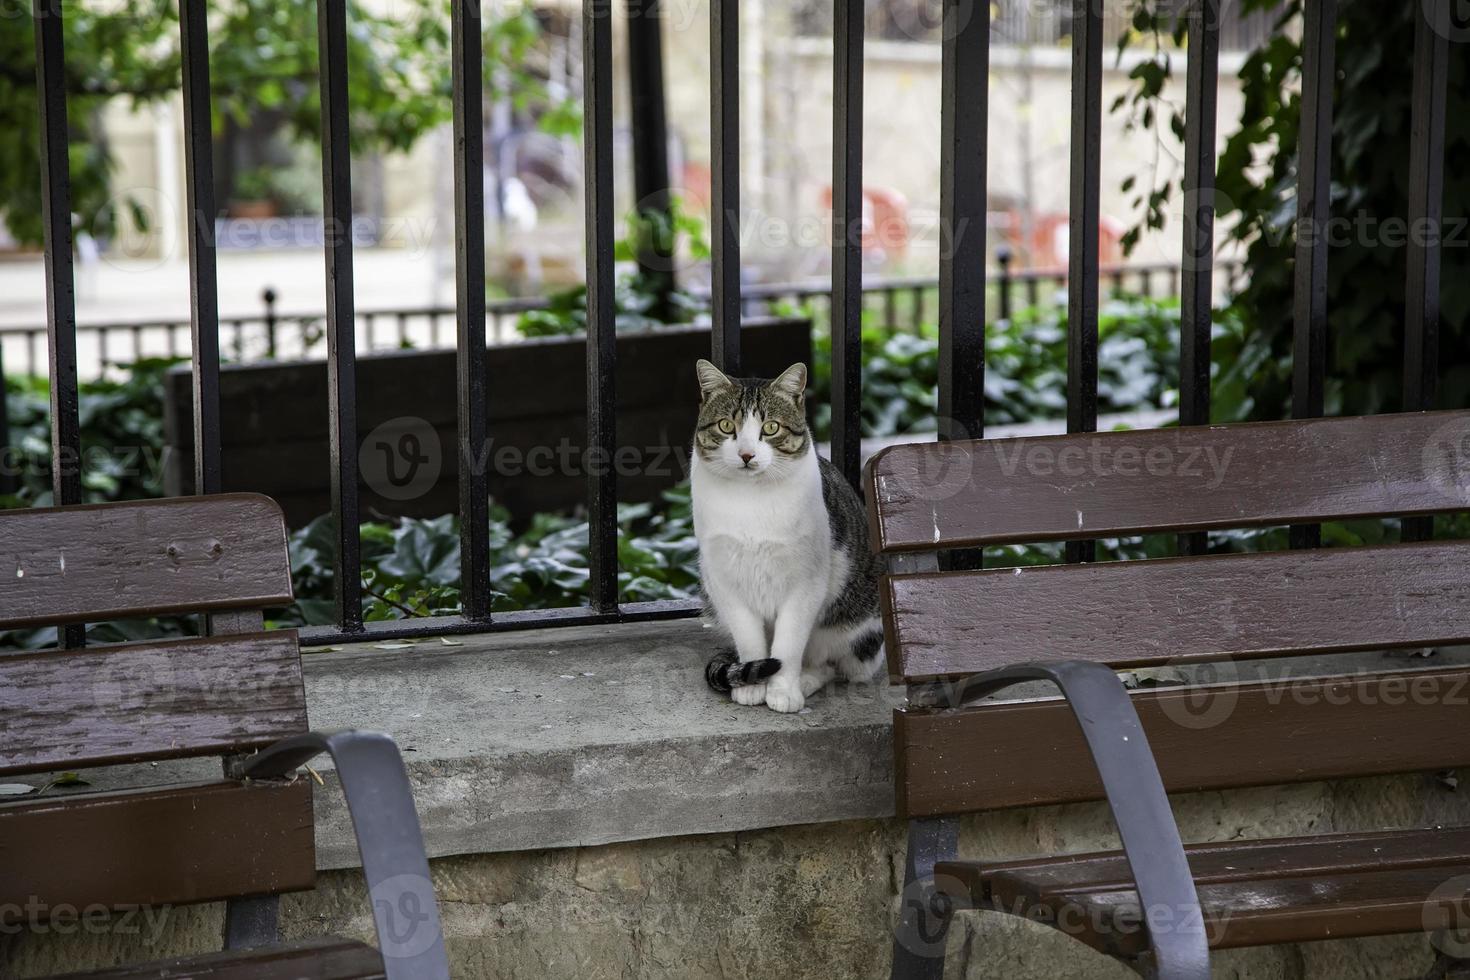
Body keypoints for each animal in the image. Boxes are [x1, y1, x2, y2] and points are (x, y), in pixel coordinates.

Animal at [690, 359, 882, 714]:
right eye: (726, 426)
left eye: (770, 428)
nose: (747, 454)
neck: (750, 501)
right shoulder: (723, 579)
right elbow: (750, 640)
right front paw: (752, 685)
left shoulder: (806, 583)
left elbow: (788, 644)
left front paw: (782, 691)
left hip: (854, 629)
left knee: (832, 665)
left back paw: (806, 681)